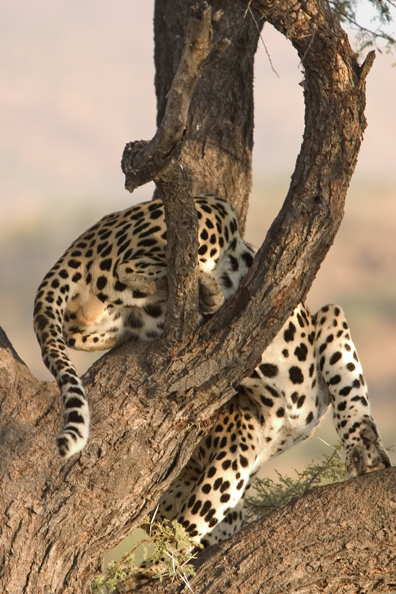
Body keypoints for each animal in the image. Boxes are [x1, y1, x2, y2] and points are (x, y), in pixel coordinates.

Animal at [33, 192, 390, 552]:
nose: (152, 519)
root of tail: (81, 242)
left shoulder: (328, 318)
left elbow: (349, 381)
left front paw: (366, 453)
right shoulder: (236, 443)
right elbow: (195, 522)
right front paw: (165, 561)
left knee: (101, 305)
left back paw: (203, 292)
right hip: (209, 213)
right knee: (129, 268)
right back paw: (206, 290)